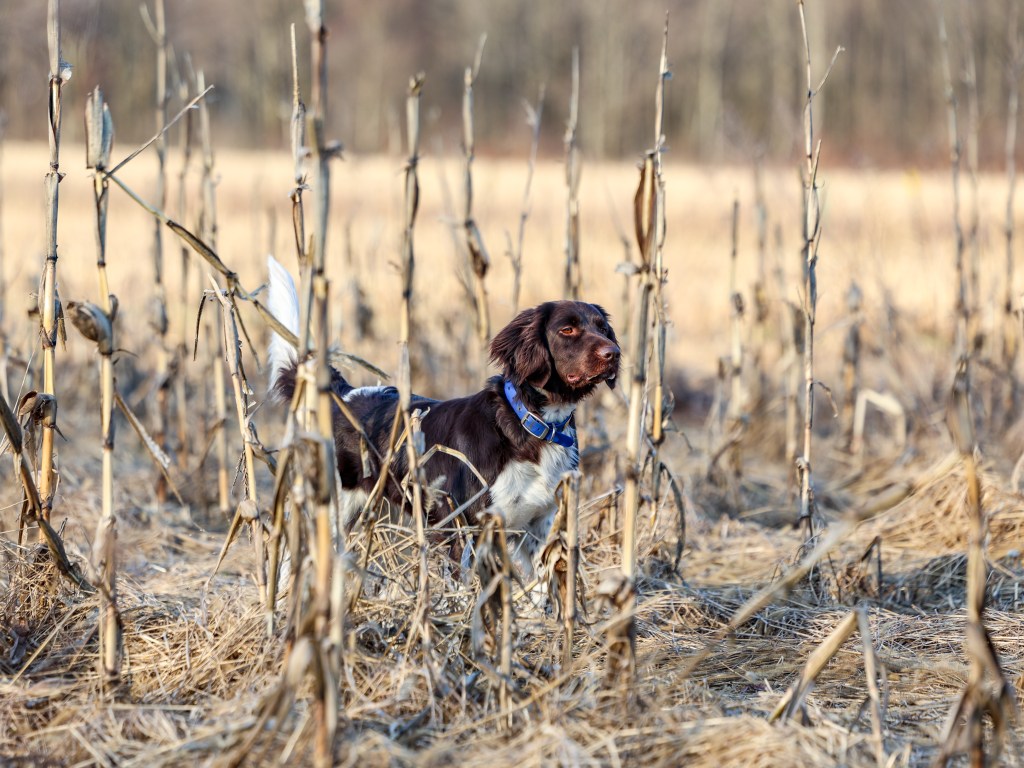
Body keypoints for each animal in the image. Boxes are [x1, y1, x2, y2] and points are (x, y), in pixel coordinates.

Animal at [266, 256, 620, 577]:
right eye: (567, 329)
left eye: (603, 329)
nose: (613, 353)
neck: (530, 424)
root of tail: (343, 394)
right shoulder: (466, 531)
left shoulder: (539, 528)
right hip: (331, 509)